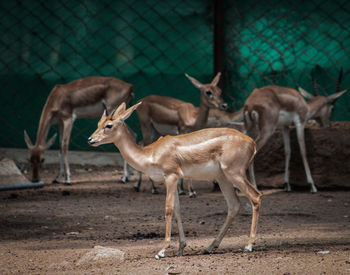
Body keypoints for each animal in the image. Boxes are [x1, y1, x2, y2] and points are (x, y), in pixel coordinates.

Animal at [88, 102, 262, 260]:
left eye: (109, 125)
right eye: (98, 123)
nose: (91, 139)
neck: (150, 153)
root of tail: (252, 143)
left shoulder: (171, 176)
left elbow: (168, 209)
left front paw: (162, 251)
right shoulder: (175, 179)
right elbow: (178, 210)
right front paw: (180, 249)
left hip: (234, 174)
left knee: (255, 196)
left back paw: (248, 245)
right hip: (223, 178)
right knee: (234, 205)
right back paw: (209, 247)